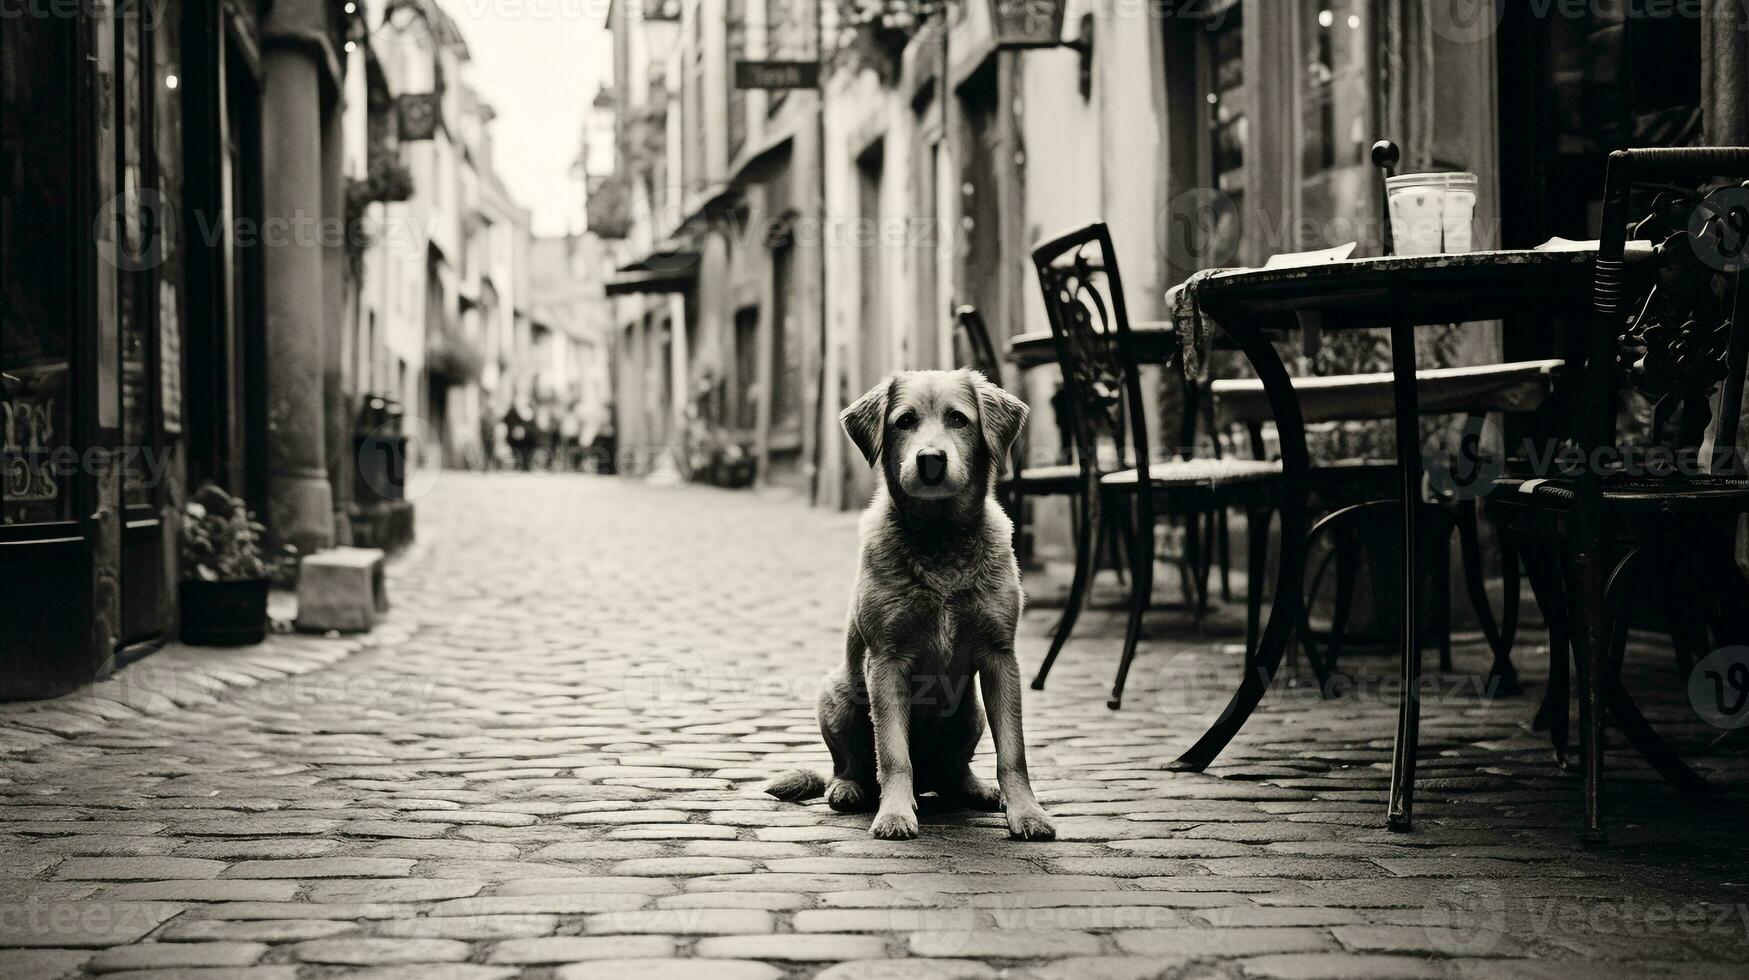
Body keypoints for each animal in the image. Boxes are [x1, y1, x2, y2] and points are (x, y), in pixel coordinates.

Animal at [766, 369, 1049, 843]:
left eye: (958, 419)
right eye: (904, 421)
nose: (930, 459)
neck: (940, 540)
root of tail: (929, 783)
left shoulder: (1000, 658)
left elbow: (1014, 752)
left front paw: (1026, 812)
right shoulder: (887, 660)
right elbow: (894, 754)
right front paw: (895, 813)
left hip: (970, 713)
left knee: (954, 772)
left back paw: (978, 790)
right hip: (836, 696)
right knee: (852, 766)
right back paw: (849, 790)